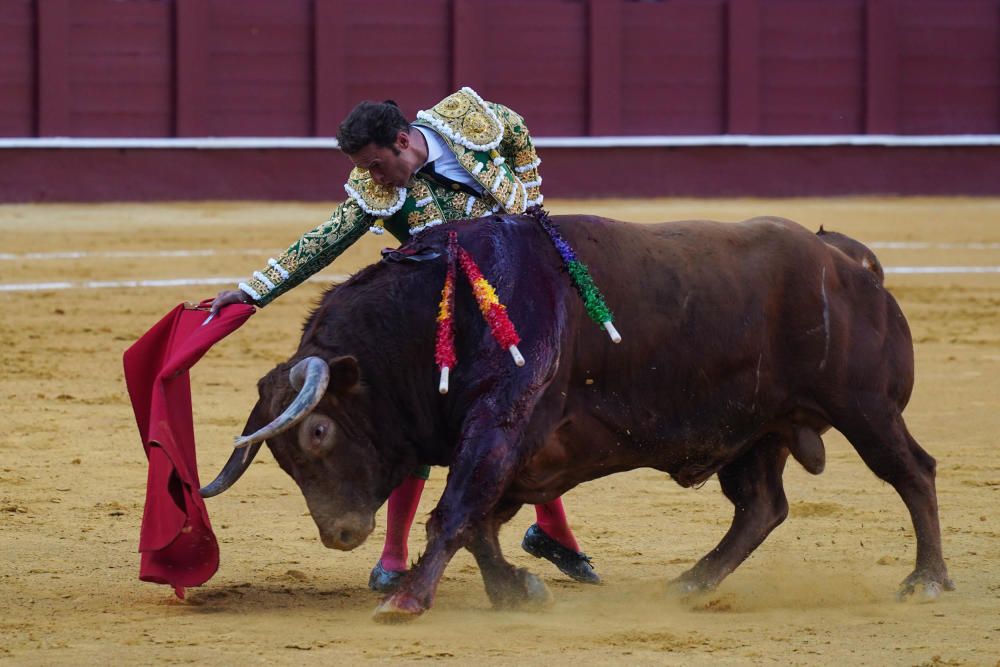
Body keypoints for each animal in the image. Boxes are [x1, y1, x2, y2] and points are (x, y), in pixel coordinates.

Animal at [197, 213, 952, 620]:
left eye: (319, 431)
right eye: (284, 457)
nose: (340, 533)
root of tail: (847, 260)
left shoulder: (501, 425)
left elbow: (456, 512)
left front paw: (406, 601)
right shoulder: (515, 449)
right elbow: (478, 522)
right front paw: (519, 590)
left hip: (863, 407)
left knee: (912, 471)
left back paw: (926, 580)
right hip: (755, 430)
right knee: (762, 506)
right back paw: (689, 583)